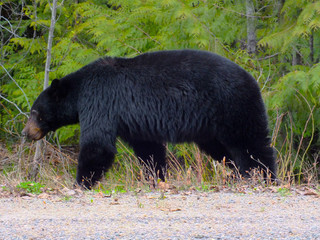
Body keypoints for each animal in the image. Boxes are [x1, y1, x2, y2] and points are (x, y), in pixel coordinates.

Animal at [22, 49, 276, 188]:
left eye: (34, 113)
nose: (26, 133)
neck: (79, 90)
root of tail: (251, 78)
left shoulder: (100, 100)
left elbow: (98, 144)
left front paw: (81, 183)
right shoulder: (135, 123)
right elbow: (148, 150)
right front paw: (155, 179)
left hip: (232, 105)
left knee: (250, 143)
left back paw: (265, 177)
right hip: (211, 128)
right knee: (225, 151)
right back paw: (239, 175)